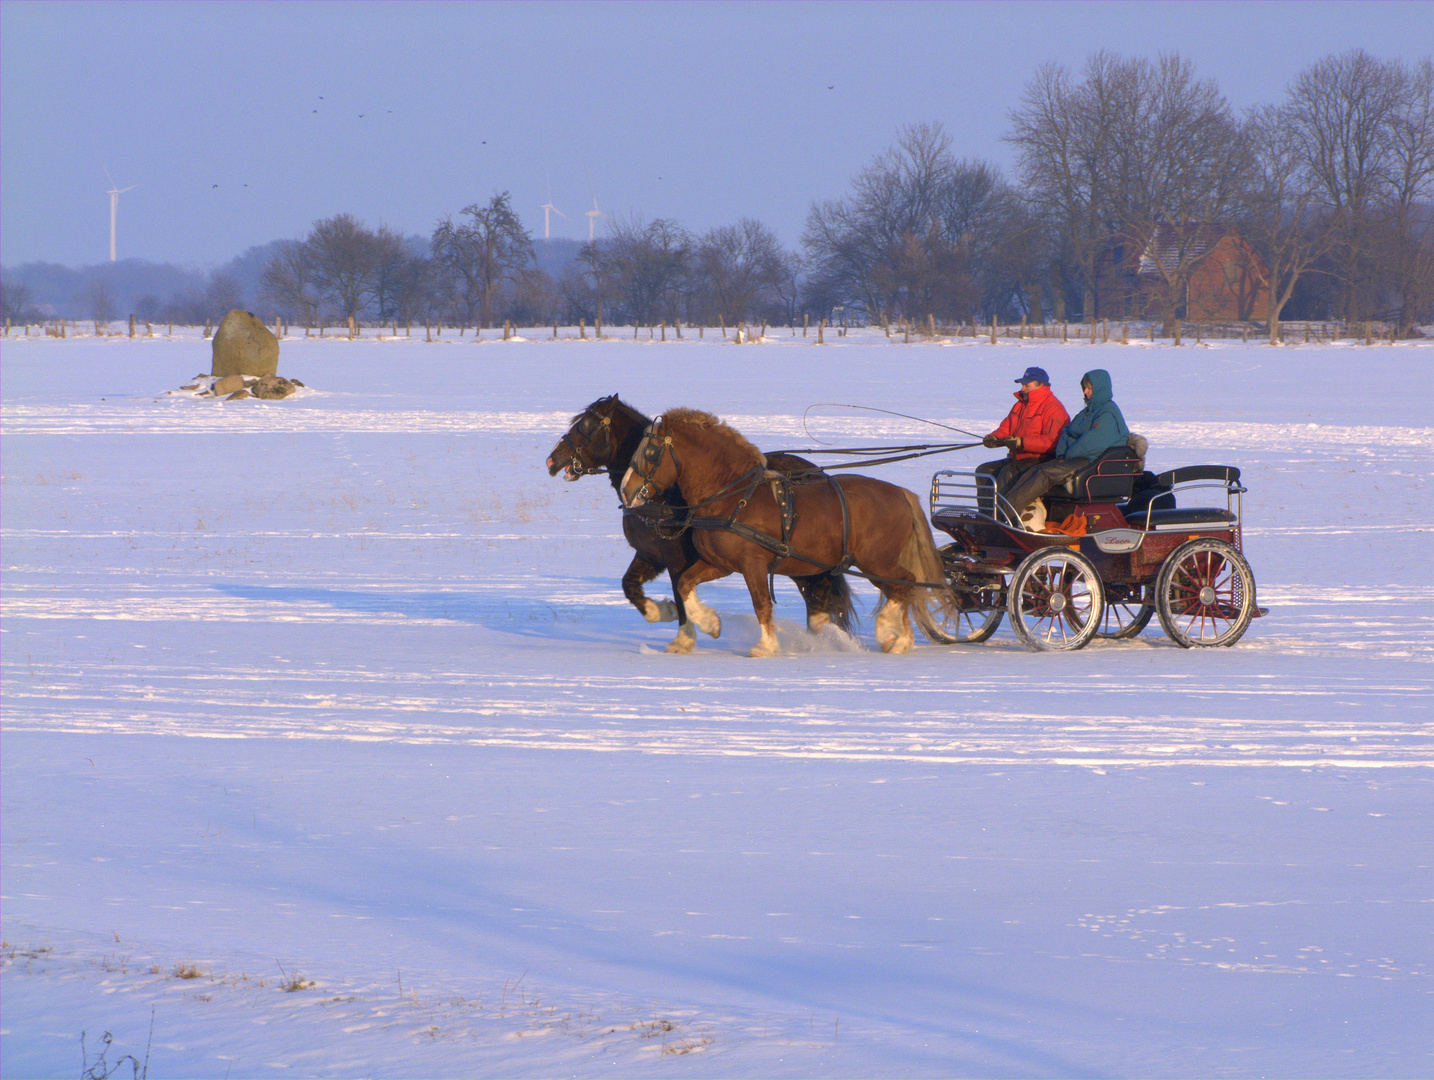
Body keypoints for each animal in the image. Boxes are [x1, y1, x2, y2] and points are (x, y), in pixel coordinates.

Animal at [619, 407, 946, 654]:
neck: (734, 496)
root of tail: (902, 493)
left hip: (876, 560)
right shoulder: (720, 563)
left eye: (650, 451)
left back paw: (888, 631)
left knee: (905, 583)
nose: (626, 489)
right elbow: (685, 585)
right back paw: (899, 639)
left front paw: (765, 646)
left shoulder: (752, 564)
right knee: (900, 589)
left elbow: (761, 603)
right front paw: (711, 623)